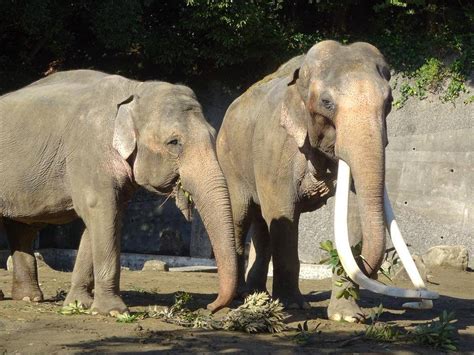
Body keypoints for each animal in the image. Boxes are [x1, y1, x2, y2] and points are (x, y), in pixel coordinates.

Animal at [0, 71, 237, 316]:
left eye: (213, 135)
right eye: (174, 142)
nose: (211, 306)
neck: (134, 89)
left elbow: (103, 218)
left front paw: (80, 305)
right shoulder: (89, 152)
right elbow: (102, 210)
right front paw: (113, 312)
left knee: (22, 228)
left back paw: (29, 298)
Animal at [216, 41, 436, 322]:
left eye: (389, 102)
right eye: (327, 103)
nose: (416, 302)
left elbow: (352, 217)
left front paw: (347, 316)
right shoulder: (276, 146)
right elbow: (283, 211)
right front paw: (292, 306)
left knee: (260, 222)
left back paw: (256, 297)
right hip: (229, 158)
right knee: (241, 214)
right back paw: (241, 297)